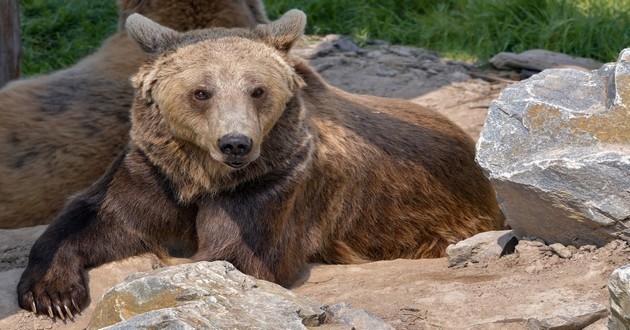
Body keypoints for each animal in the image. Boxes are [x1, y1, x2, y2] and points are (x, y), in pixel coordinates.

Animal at [17, 10, 504, 320]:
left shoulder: (273, 185)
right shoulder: (156, 171)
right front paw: (51, 293)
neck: (203, 177)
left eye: (257, 90)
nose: (236, 143)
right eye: (201, 92)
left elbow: (233, 256)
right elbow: (102, 216)